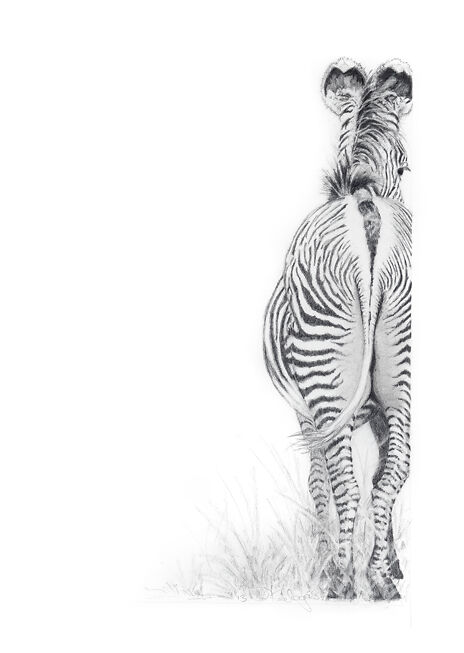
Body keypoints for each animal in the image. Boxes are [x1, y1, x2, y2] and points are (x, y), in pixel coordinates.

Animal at [263, 58, 412, 600]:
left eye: (405, 168)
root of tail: (364, 206)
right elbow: (385, 473)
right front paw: (389, 564)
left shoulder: (307, 413)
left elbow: (319, 483)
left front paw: (328, 558)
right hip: (398, 366)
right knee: (392, 472)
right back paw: (377, 581)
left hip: (325, 377)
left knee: (347, 482)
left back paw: (342, 579)